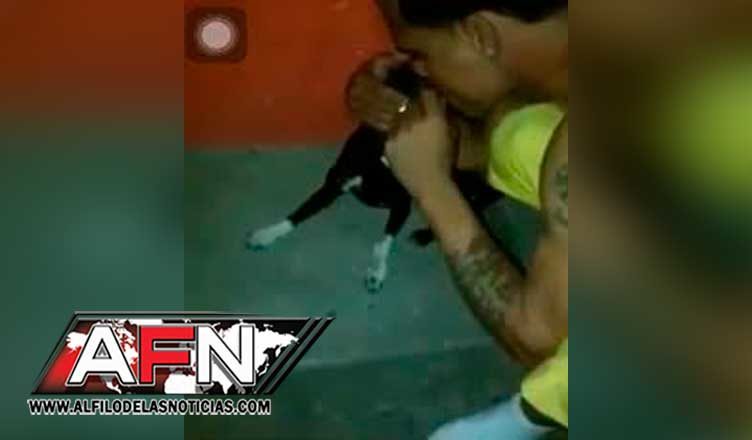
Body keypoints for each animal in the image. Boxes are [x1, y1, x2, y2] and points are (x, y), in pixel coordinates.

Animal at [246, 66, 502, 293]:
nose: (455, 134)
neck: (380, 160)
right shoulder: (334, 184)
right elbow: (300, 211)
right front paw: (267, 233)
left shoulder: (401, 205)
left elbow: (383, 244)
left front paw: (376, 272)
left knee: (472, 207)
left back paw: (424, 235)